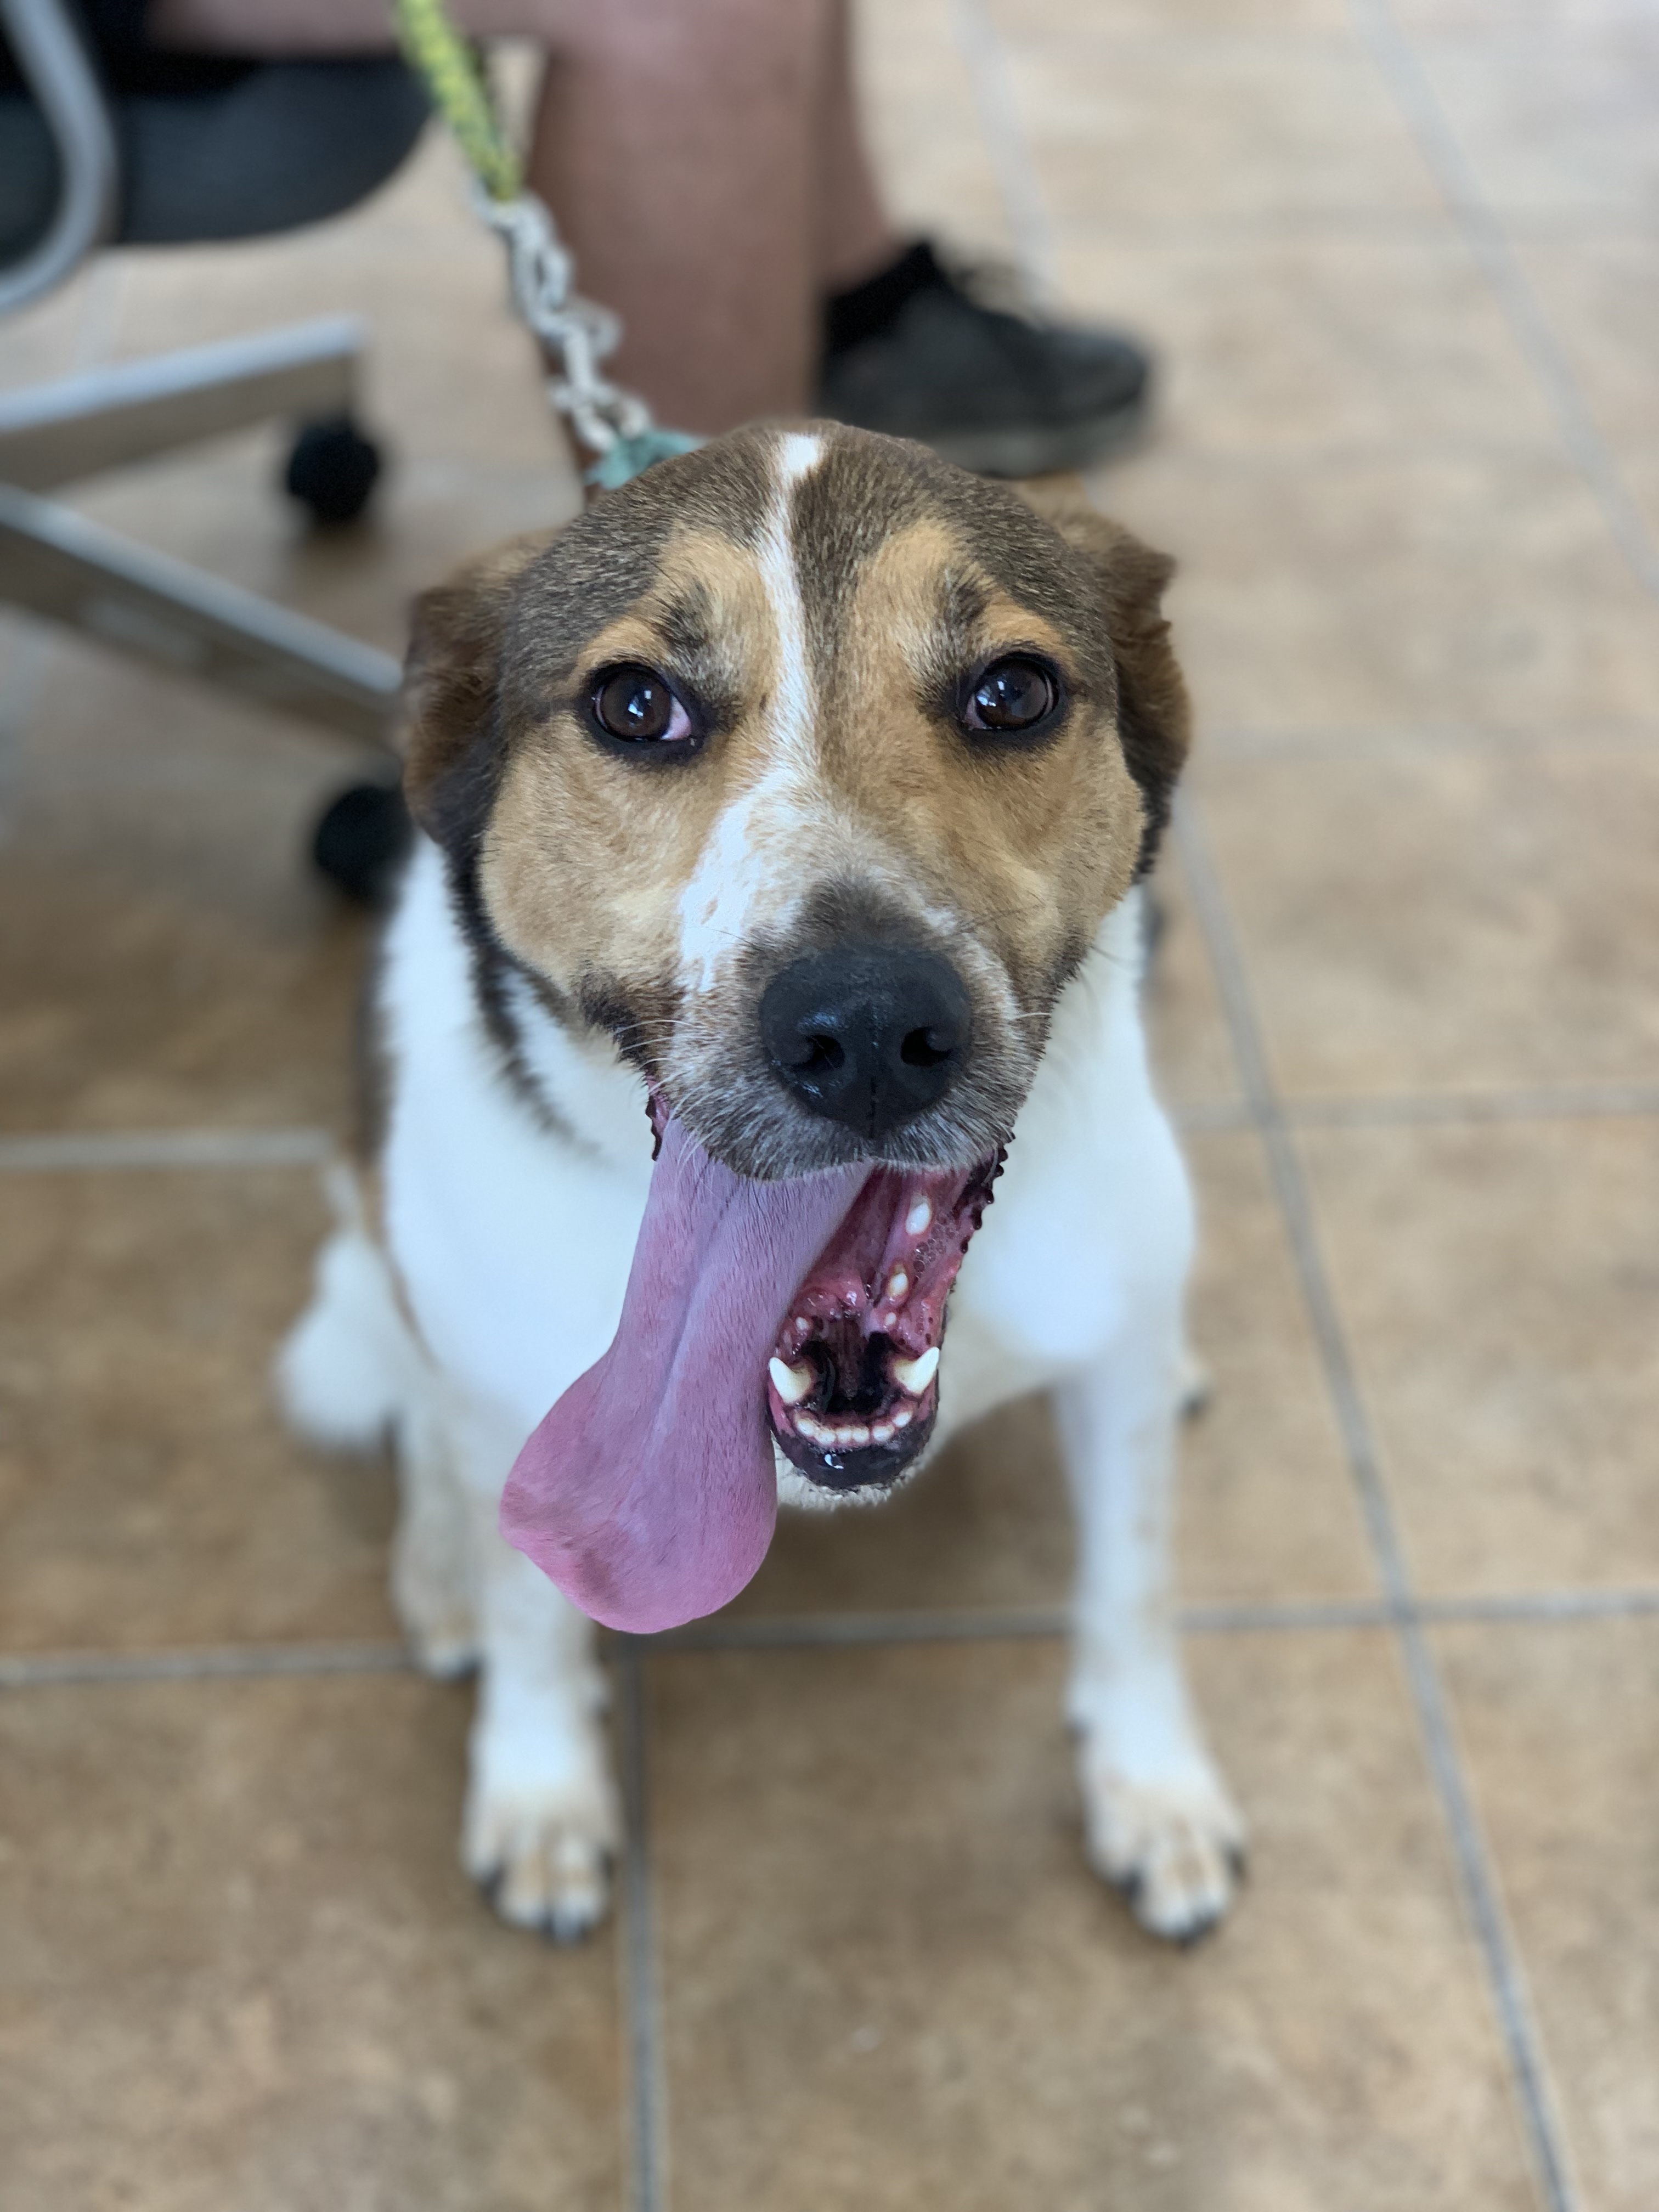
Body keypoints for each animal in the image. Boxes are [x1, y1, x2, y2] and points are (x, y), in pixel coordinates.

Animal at [280, 422, 1248, 1946]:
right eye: (634, 706)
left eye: (1014, 691)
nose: (867, 1031)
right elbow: (526, 1610)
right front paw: (539, 1786)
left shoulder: (1110, 1359)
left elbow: (1133, 1584)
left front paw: (1152, 1785)